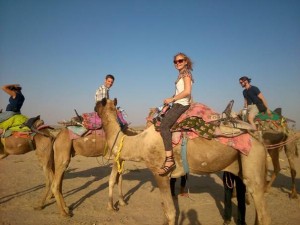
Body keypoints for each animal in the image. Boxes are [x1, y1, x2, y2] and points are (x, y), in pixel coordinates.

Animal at [96, 99, 272, 225]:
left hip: (252, 160)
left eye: (99, 102)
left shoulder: (160, 173)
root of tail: (260, 141)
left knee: (263, 214)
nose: (95, 106)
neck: (140, 142)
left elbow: (170, 213)